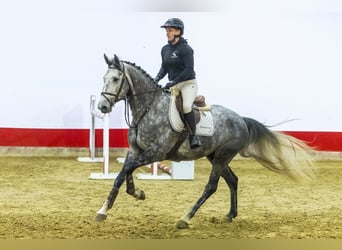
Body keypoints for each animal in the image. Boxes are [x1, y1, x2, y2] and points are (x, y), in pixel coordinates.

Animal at [95, 54, 314, 229]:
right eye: (103, 78)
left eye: (115, 79)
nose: (103, 106)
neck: (148, 108)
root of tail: (241, 119)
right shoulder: (135, 150)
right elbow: (123, 174)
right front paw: (115, 204)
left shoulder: (156, 153)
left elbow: (126, 169)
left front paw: (127, 197)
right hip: (215, 156)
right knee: (232, 180)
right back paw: (230, 214)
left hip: (221, 157)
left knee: (211, 186)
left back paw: (186, 218)